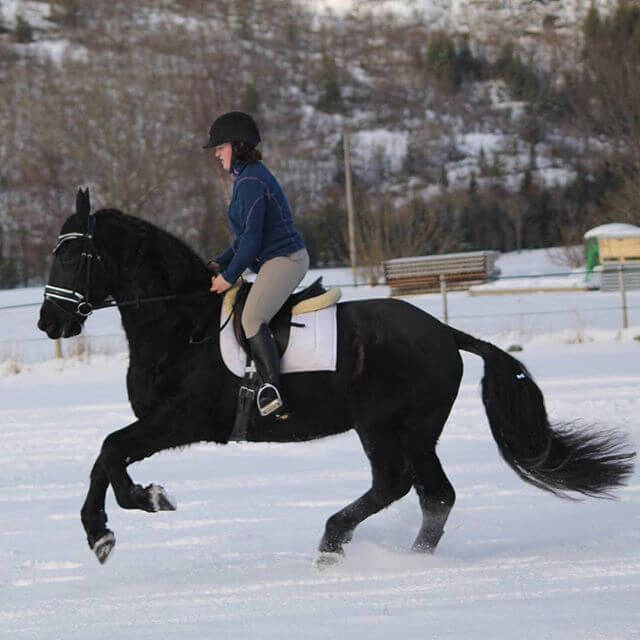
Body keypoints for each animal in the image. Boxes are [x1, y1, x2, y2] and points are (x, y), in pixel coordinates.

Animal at [37, 189, 632, 564]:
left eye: (72, 258)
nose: (49, 323)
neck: (181, 322)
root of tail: (445, 332)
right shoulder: (161, 423)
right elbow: (105, 457)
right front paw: (102, 533)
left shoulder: (179, 420)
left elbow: (112, 451)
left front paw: (147, 500)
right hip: (414, 431)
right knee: (433, 495)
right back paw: (403, 557)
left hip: (387, 425)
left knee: (399, 485)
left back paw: (334, 544)